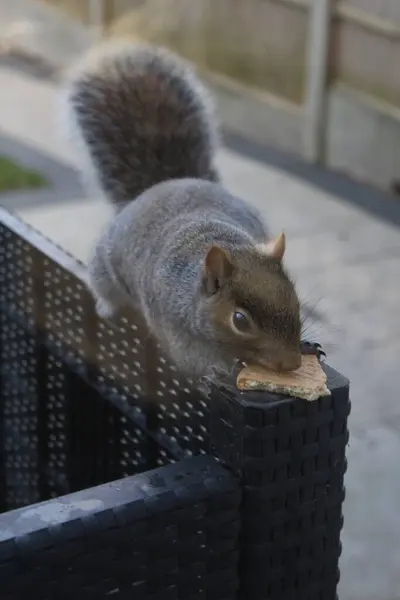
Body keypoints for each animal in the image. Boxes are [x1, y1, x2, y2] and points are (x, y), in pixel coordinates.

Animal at [60, 38, 322, 384]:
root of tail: (162, 185)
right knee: (105, 289)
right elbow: (194, 360)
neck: (226, 243)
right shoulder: (176, 330)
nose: (291, 363)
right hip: (103, 268)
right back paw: (107, 306)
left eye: (294, 298)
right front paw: (228, 368)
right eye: (240, 320)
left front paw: (306, 345)